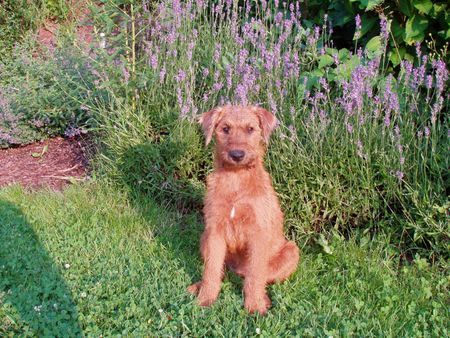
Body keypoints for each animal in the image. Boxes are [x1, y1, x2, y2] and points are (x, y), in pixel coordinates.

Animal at [188, 105, 300, 314]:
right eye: (225, 129)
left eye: (250, 129)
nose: (237, 155)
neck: (236, 178)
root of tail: (237, 270)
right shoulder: (215, 231)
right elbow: (211, 270)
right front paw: (205, 299)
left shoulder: (258, 233)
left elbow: (256, 275)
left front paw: (254, 306)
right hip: (204, 238)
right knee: (221, 270)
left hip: (291, 251)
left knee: (261, 276)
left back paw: (263, 298)